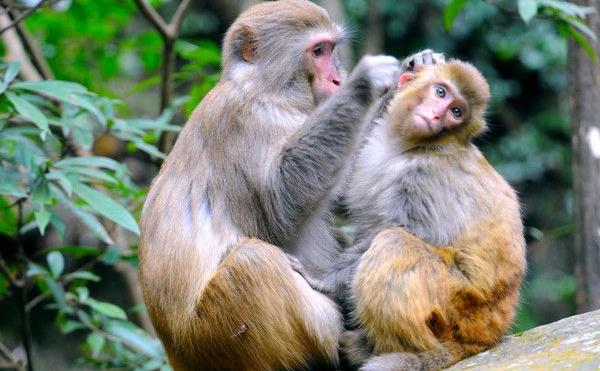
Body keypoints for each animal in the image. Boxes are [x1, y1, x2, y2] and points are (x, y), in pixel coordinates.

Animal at [136, 1, 418, 370]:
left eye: (332, 49)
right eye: (318, 51)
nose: (338, 79)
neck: (265, 92)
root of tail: (178, 357)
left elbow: (350, 194)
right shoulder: (245, 121)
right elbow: (281, 206)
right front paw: (364, 84)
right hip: (216, 339)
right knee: (253, 262)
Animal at [330, 59, 528, 370]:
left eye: (456, 112)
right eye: (440, 92)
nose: (436, 114)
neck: (410, 146)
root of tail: (487, 336)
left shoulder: (423, 177)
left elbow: (397, 233)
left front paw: (321, 281)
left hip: (458, 306)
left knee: (393, 243)